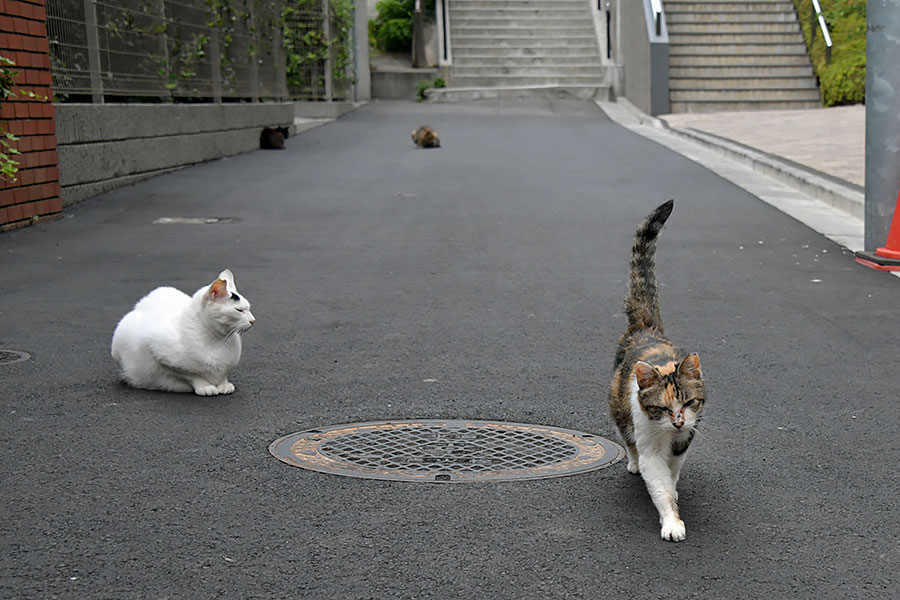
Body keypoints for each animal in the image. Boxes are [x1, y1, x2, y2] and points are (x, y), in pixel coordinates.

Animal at [112, 270, 255, 396]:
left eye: (248, 308)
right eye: (239, 310)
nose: (253, 320)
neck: (218, 340)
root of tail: (144, 300)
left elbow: (223, 375)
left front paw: (224, 384)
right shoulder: (159, 353)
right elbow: (192, 375)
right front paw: (205, 386)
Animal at [608, 202, 708, 544]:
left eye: (689, 403)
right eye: (662, 408)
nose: (677, 422)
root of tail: (645, 328)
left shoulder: (685, 440)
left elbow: (672, 474)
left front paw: (674, 495)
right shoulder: (649, 440)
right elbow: (659, 483)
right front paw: (672, 522)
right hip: (618, 407)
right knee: (627, 439)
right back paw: (633, 463)